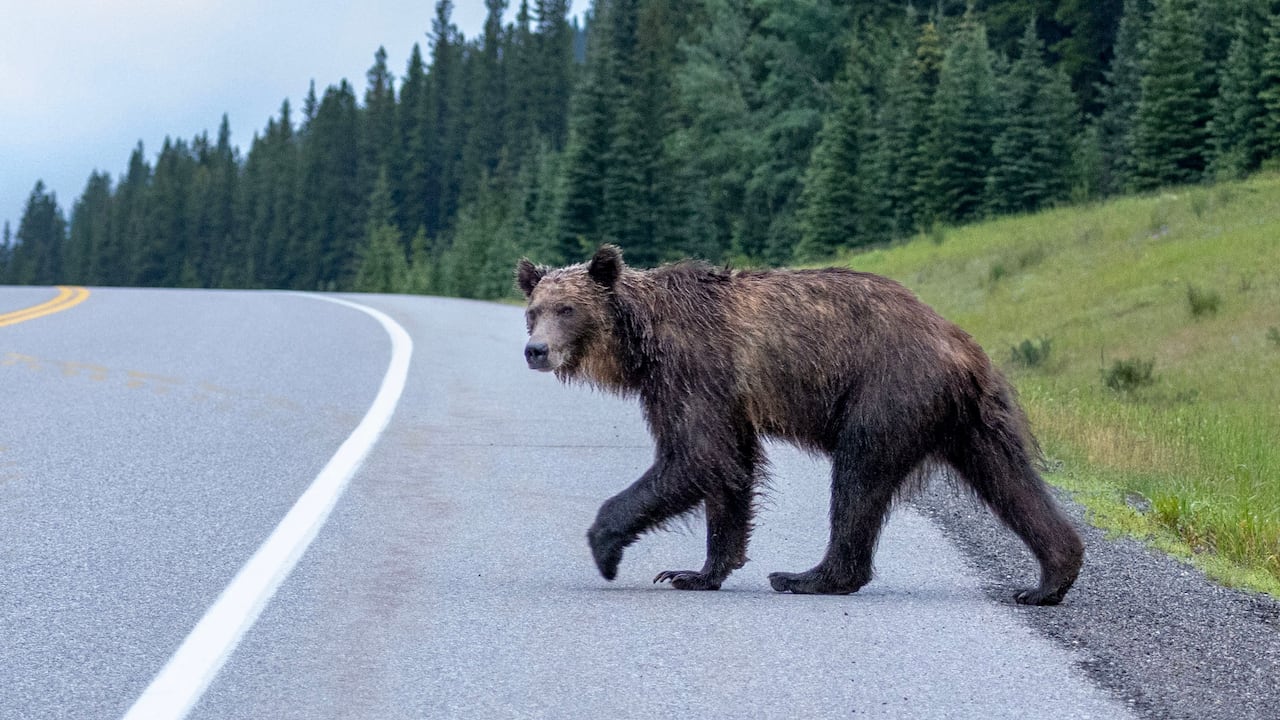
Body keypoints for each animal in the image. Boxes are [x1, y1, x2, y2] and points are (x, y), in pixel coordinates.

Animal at [516, 244, 1083, 605]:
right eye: (533, 310)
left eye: (567, 308)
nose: (535, 350)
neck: (642, 343)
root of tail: (960, 344)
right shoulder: (705, 393)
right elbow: (730, 466)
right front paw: (695, 572)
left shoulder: (695, 370)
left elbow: (698, 456)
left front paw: (607, 545)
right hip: (969, 419)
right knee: (1008, 479)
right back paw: (1049, 577)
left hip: (887, 391)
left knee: (858, 476)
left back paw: (808, 576)